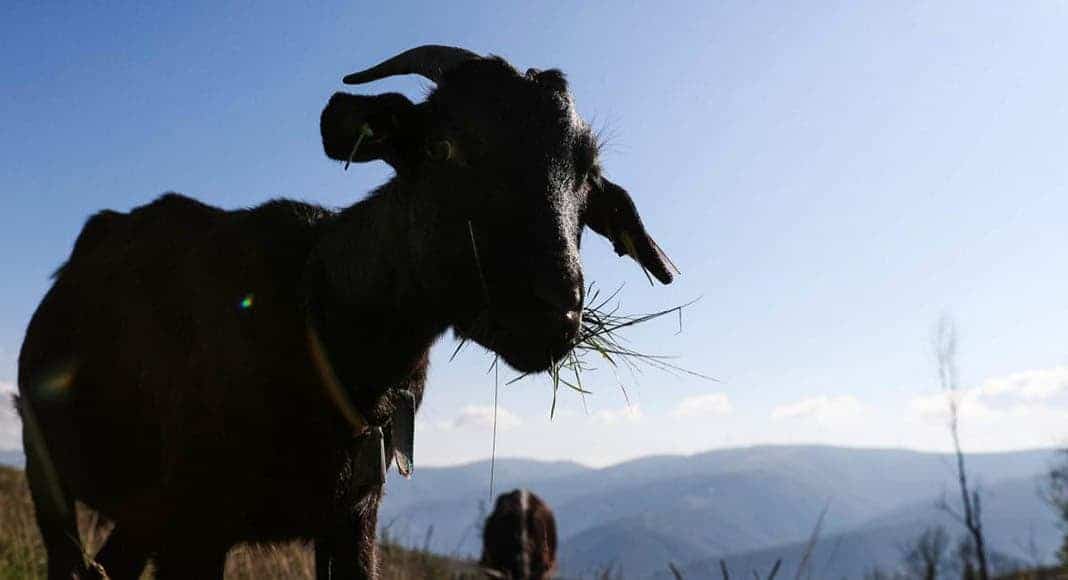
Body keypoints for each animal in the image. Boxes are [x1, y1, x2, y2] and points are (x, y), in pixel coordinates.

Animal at [18, 45, 675, 579]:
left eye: (588, 174)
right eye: (441, 146)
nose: (553, 310)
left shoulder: (353, 518)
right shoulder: (196, 527)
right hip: (43, 456)